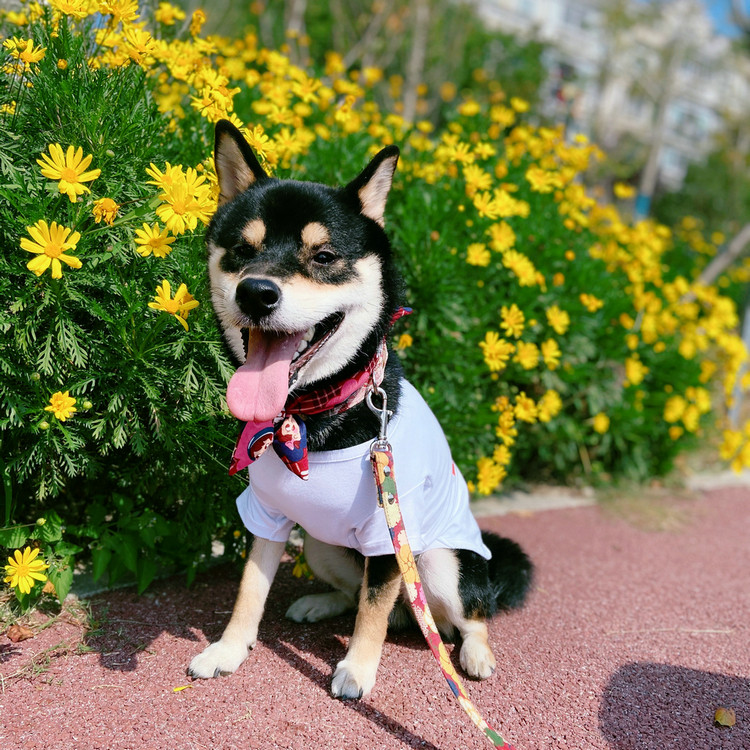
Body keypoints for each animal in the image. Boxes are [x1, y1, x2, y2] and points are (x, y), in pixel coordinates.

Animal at [188, 119, 533, 700]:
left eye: (324, 257)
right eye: (241, 249)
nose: (256, 292)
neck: (308, 417)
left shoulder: (386, 533)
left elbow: (372, 612)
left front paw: (357, 670)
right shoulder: (268, 515)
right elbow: (250, 590)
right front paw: (228, 650)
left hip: (439, 562)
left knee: (460, 614)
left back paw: (475, 653)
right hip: (319, 544)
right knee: (366, 599)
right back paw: (321, 603)